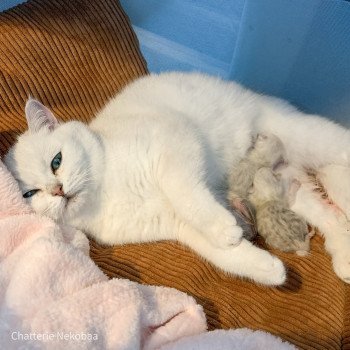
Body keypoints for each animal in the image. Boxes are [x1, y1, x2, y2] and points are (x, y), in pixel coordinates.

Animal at [4, 72, 350, 286]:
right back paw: (345, 258)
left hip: (308, 137)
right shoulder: (176, 226)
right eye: (30, 193)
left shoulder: (174, 145)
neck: (106, 192)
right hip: (287, 188)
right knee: (329, 217)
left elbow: (187, 195)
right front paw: (270, 269)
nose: (58, 190)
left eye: (56, 161)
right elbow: (222, 254)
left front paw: (224, 229)